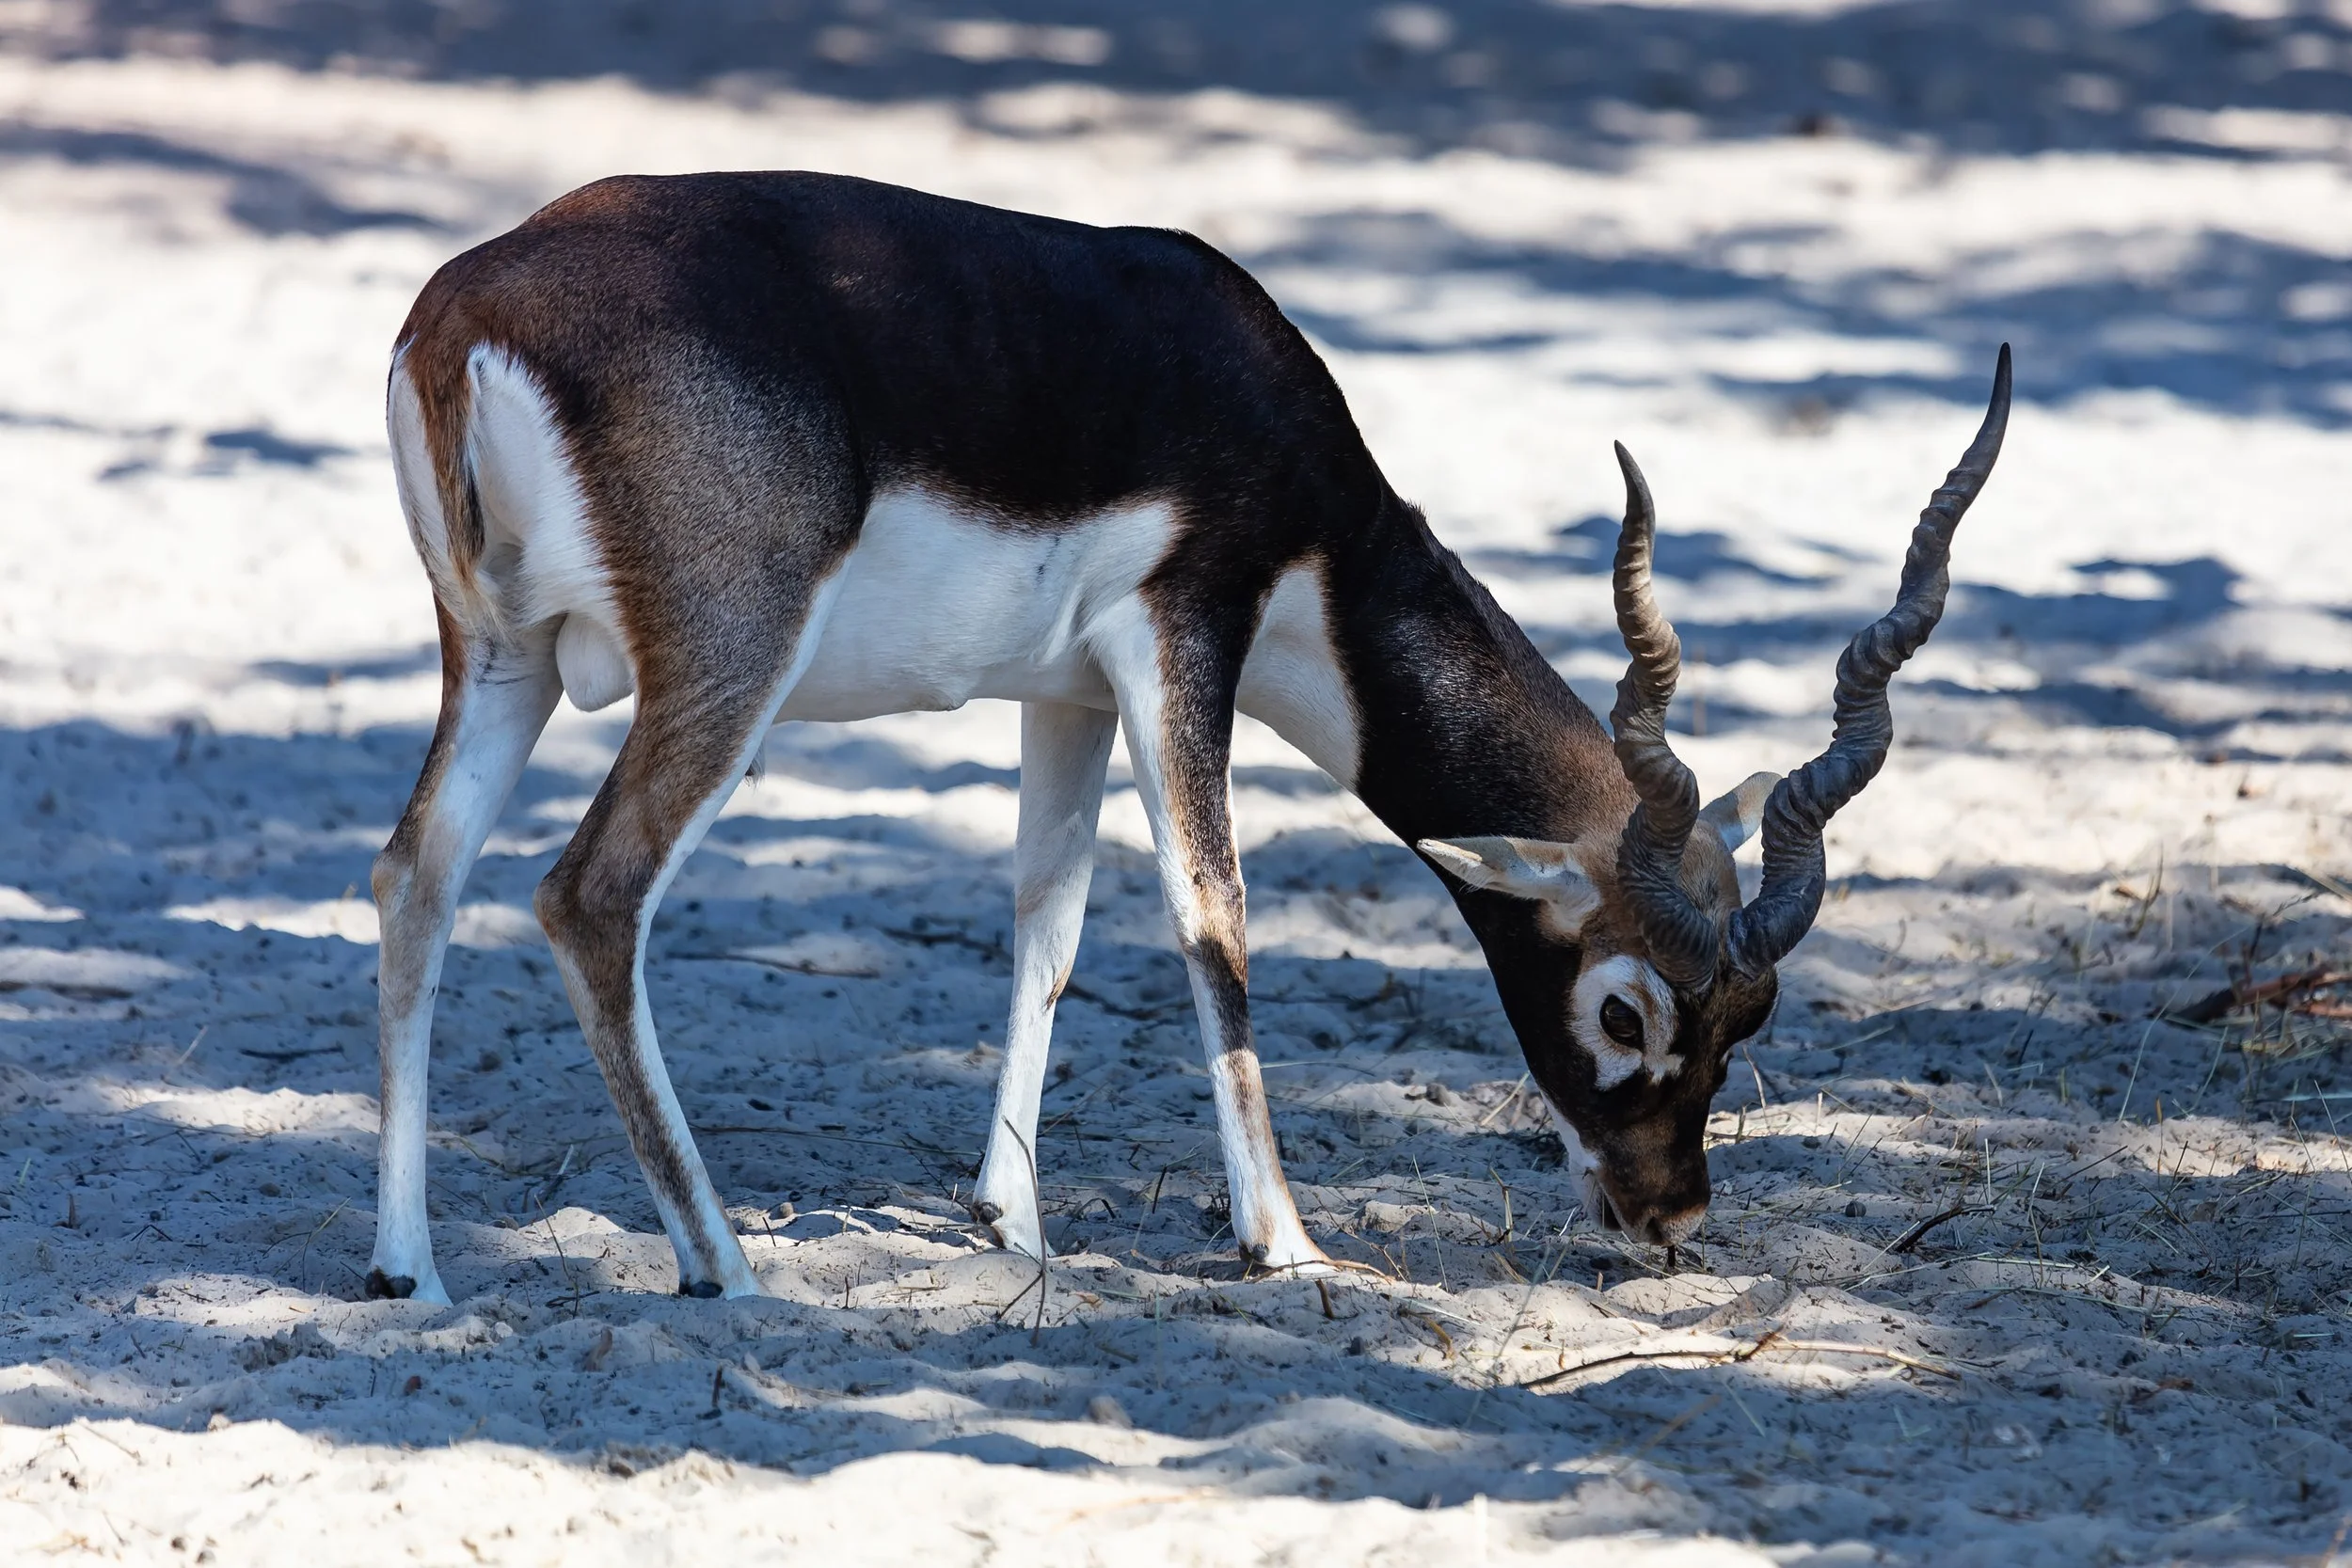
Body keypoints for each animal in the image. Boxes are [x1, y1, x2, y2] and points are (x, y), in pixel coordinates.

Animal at [366, 171, 2008, 1303]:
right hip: (723, 665)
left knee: (413, 875)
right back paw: (721, 1258)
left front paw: (1011, 1220)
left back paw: (409, 1267)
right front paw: (1284, 1239)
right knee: (591, 895)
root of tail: (470, 314)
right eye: (1624, 1010)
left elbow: (1047, 924)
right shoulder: (1183, 633)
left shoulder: (1069, 693)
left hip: (500, 661)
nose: (1669, 1217)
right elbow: (1212, 914)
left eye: (1750, 1023)